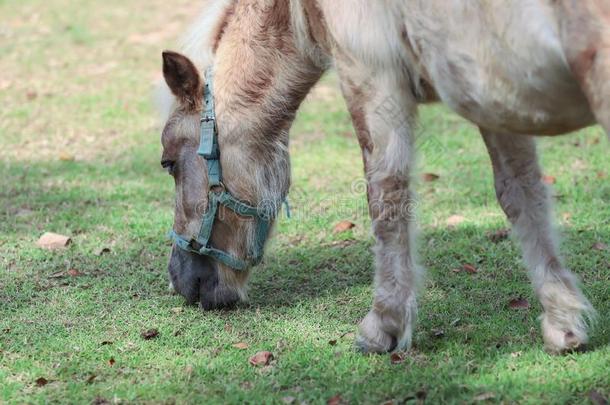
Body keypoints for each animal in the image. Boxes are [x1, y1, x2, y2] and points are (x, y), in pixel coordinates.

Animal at [158, 0, 604, 354]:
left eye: (169, 162)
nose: (179, 280)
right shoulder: (494, 97)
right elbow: (522, 196)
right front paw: (562, 321)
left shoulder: (371, 79)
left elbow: (385, 199)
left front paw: (384, 325)